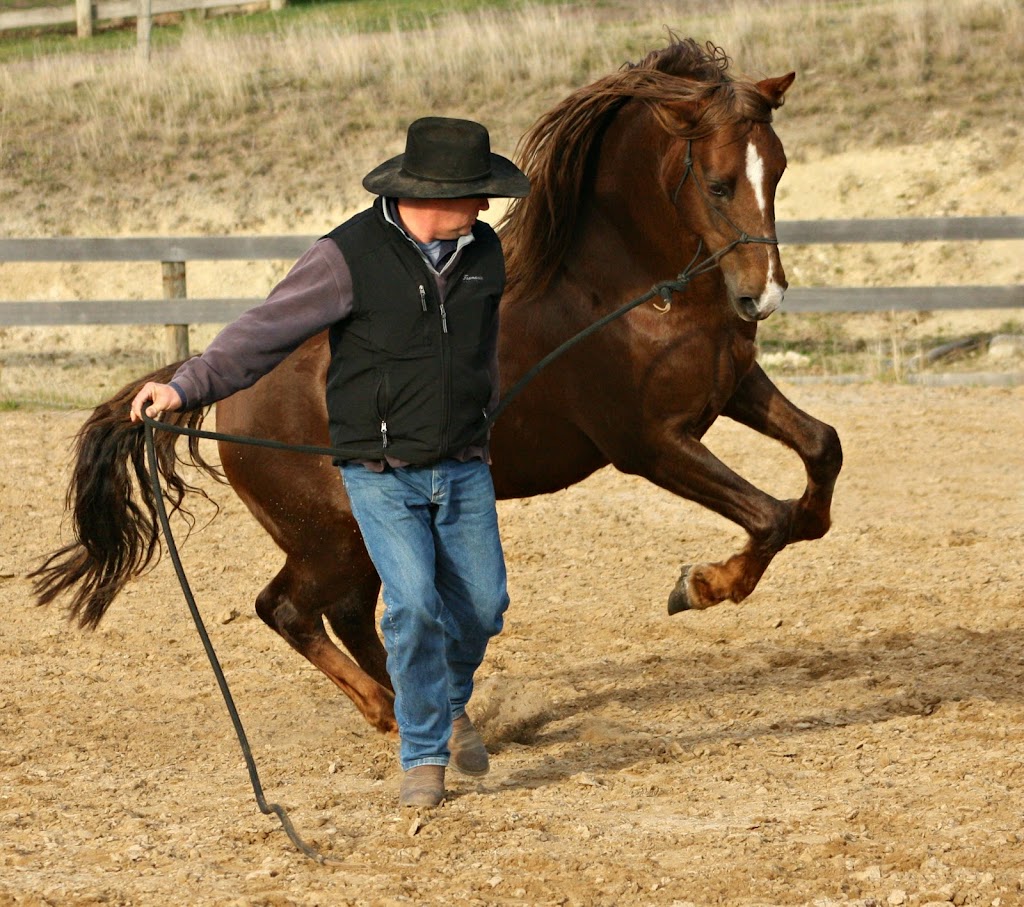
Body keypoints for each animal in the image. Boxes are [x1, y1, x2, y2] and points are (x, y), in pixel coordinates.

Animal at [32, 39, 839, 741]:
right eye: (718, 182)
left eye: (779, 171)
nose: (763, 297)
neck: (630, 292)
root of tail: (223, 393)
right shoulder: (649, 443)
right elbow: (768, 517)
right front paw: (699, 584)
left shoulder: (731, 390)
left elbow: (820, 459)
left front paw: (766, 538)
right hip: (330, 537)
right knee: (286, 609)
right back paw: (390, 711)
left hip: (357, 540)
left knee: (355, 616)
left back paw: (436, 711)